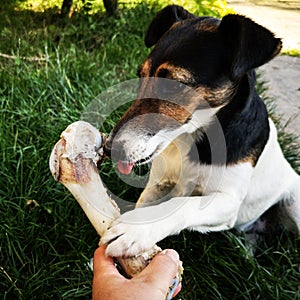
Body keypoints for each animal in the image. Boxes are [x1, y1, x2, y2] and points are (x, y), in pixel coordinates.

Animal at [101, 4, 300, 256]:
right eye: (140, 75)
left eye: (174, 85)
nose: (109, 149)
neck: (192, 136)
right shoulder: (158, 184)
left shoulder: (227, 201)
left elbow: (184, 204)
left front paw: (138, 227)